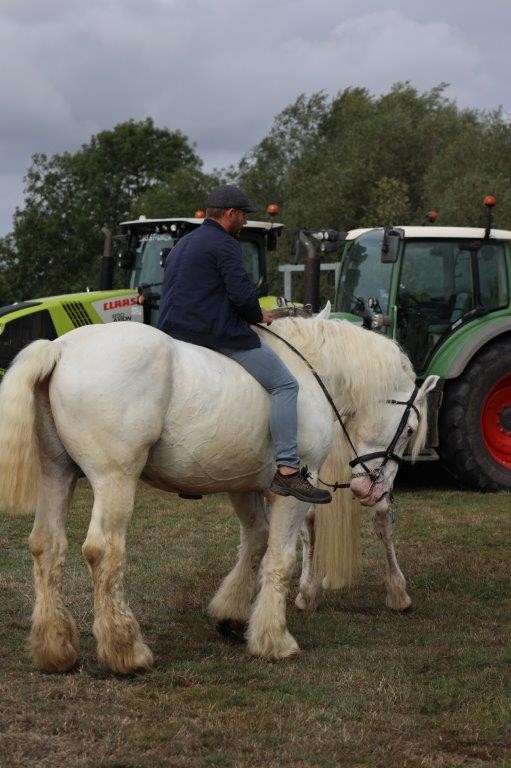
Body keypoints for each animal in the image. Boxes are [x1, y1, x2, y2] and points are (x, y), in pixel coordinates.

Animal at [0, 312, 440, 672]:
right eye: (410, 429)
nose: (372, 488)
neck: (308, 370)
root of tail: (59, 348)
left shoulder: (244, 485)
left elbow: (256, 541)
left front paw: (230, 613)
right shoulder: (296, 490)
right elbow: (281, 558)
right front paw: (274, 640)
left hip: (57, 473)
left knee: (47, 545)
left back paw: (55, 649)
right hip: (114, 478)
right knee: (104, 551)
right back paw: (126, 650)